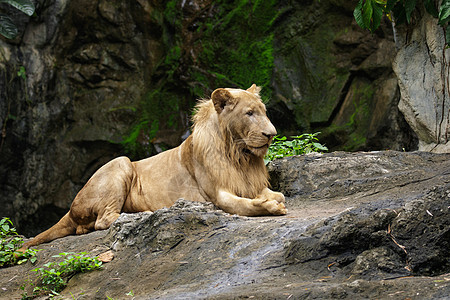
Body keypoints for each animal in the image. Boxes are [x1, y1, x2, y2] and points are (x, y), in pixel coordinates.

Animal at [19, 84, 286, 251]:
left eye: (264, 112)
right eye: (249, 113)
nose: (272, 134)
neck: (239, 155)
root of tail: (71, 207)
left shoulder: (249, 183)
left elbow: (274, 193)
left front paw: (271, 199)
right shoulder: (218, 195)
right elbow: (245, 205)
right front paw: (270, 207)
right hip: (122, 161)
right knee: (103, 221)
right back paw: (143, 213)